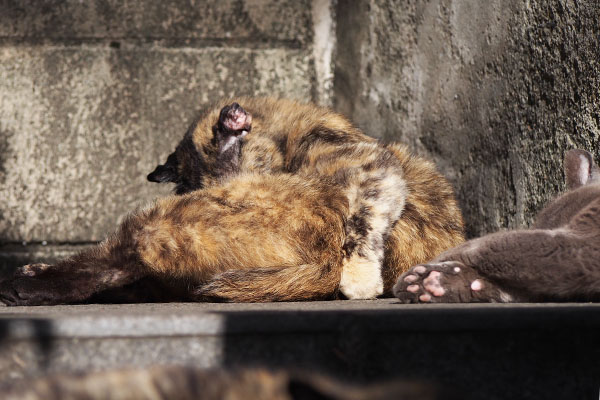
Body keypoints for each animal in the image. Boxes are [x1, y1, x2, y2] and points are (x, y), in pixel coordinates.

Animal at [0, 98, 464, 304]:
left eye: (229, 168)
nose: (225, 184)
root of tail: (322, 268)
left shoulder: (364, 164)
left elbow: (366, 220)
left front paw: (361, 280)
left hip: (160, 224)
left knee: (109, 263)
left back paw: (21, 284)